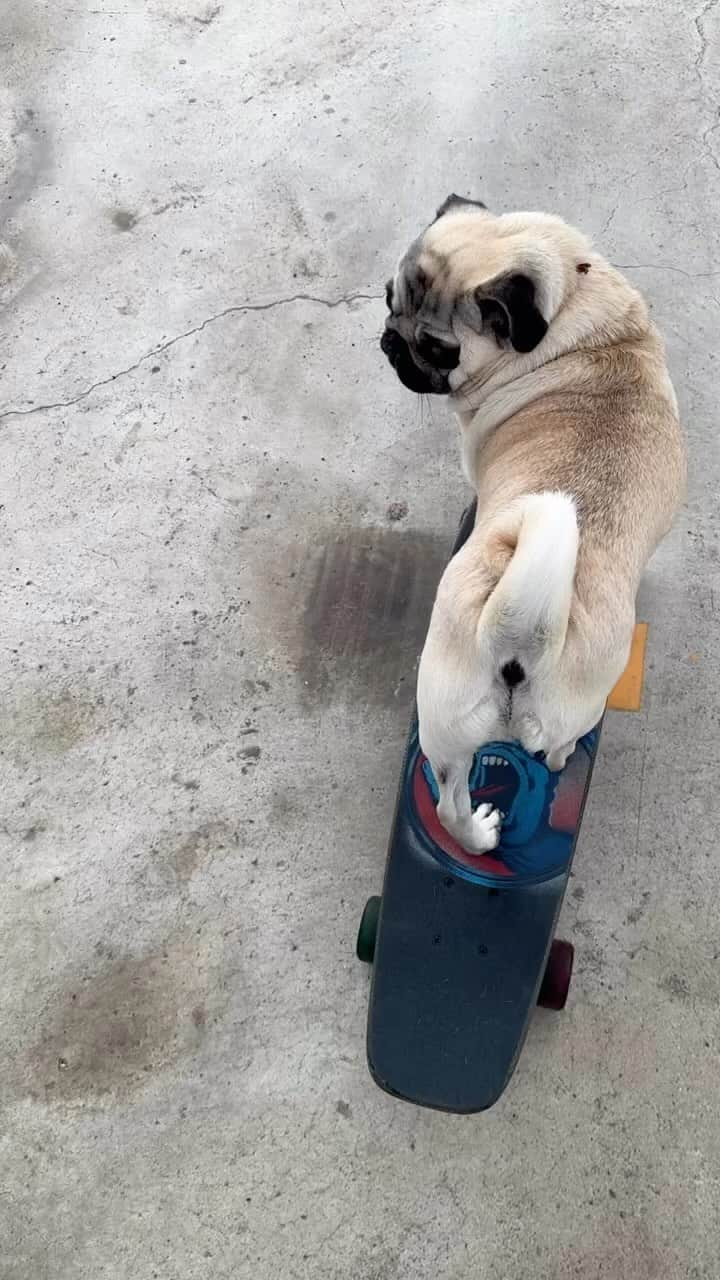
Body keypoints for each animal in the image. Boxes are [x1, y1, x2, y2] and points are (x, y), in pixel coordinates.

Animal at [379, 199, 681, 855]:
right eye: (389, 298)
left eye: (438, 350)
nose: (391, 340)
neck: (571, 305)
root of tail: (518, 634)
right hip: (569, 707)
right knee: (545, 752)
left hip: (444, 724)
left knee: (449, 804)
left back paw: (481, 834)